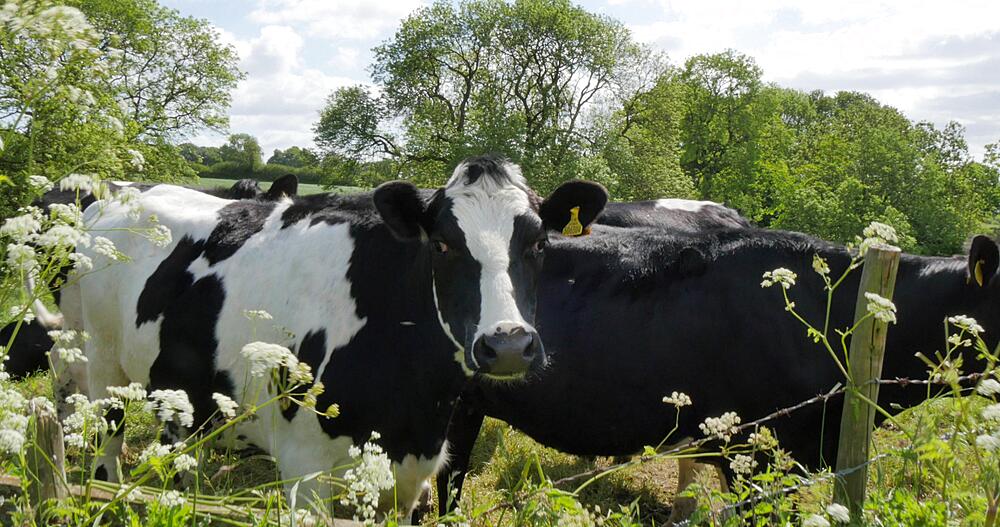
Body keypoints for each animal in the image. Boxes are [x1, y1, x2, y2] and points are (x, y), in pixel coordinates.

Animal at [50, 155, 607, 515]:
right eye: (442, 245)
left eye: (538, 243)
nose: (508, 344)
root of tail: (112, 199)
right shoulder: (305, 472)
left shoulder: (410, 476)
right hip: (99, 364)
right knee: (104, 448)